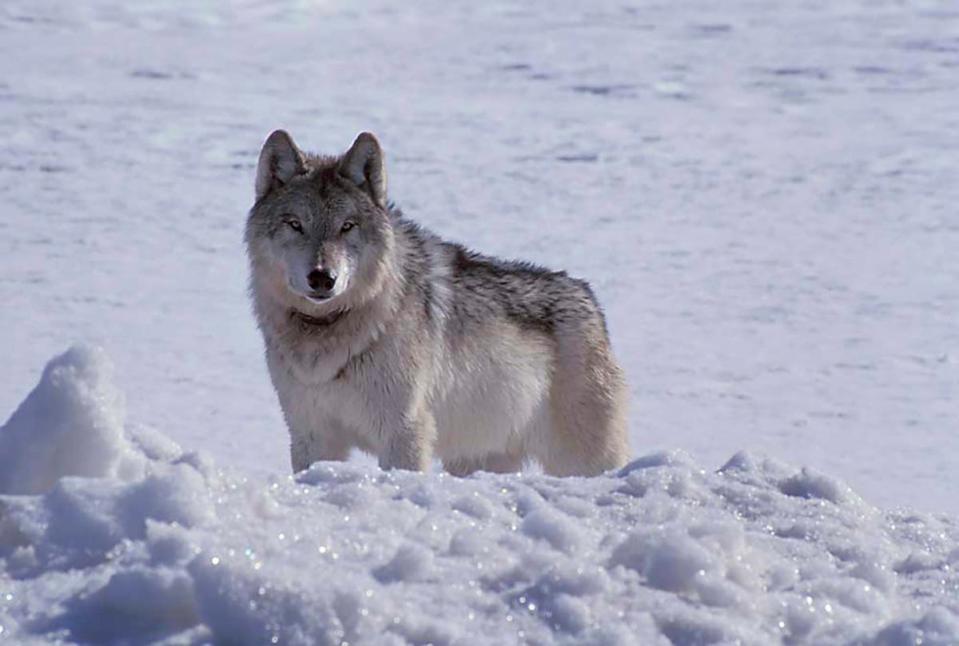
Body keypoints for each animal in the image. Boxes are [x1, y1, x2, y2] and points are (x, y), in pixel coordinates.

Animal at [246, 130, 632, 476]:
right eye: (295, 224)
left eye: (348, 226)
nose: (322, 278)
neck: (327, 331)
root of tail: (589, 298)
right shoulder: (311, 435)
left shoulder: (404, 432)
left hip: (583, 461)